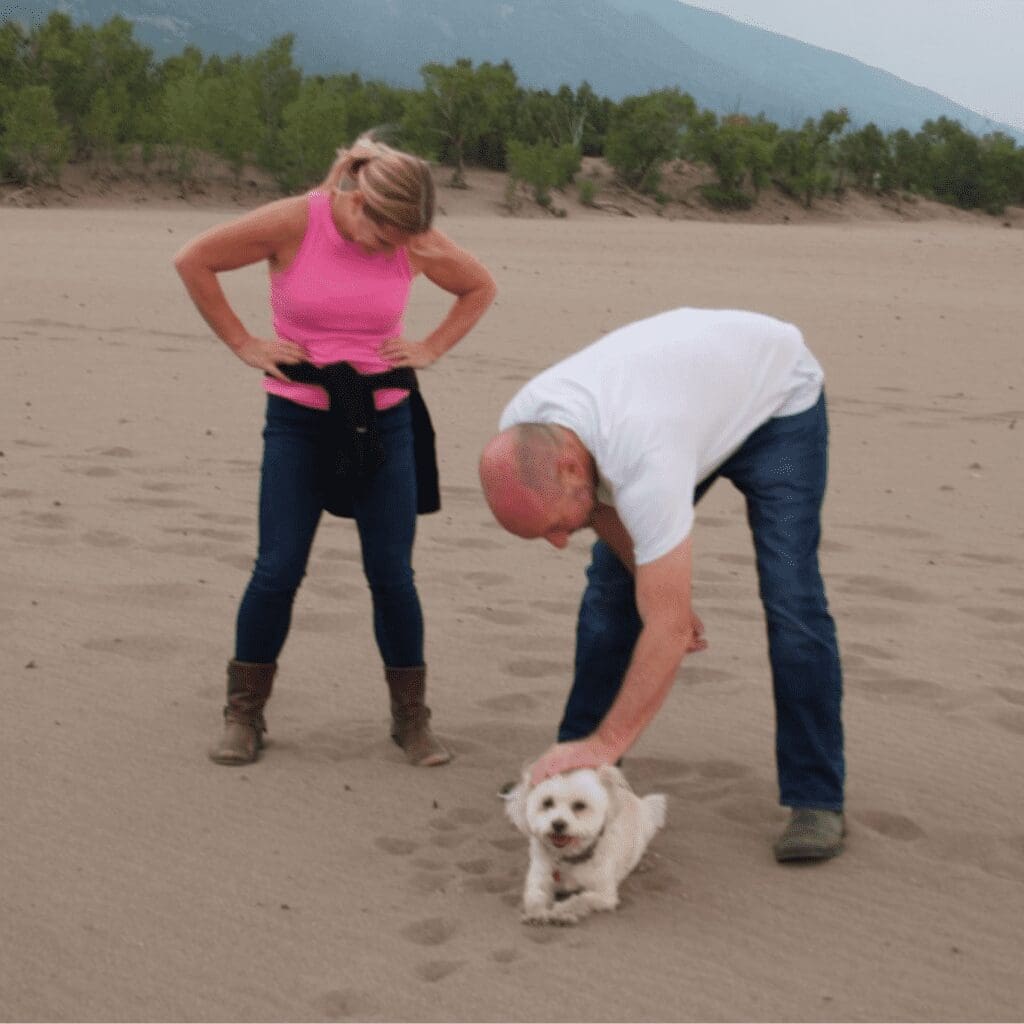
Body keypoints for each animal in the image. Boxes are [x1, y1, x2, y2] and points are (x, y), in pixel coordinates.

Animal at [501, 765, 663, 925]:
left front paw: (561, 912)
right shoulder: (539, 880)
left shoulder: (603, 895)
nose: (558, 824)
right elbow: (535, 897)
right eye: (547, 802)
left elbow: (580, 899)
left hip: (648, 822)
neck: (569, 857)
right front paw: (536, 913)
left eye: (579, 805)